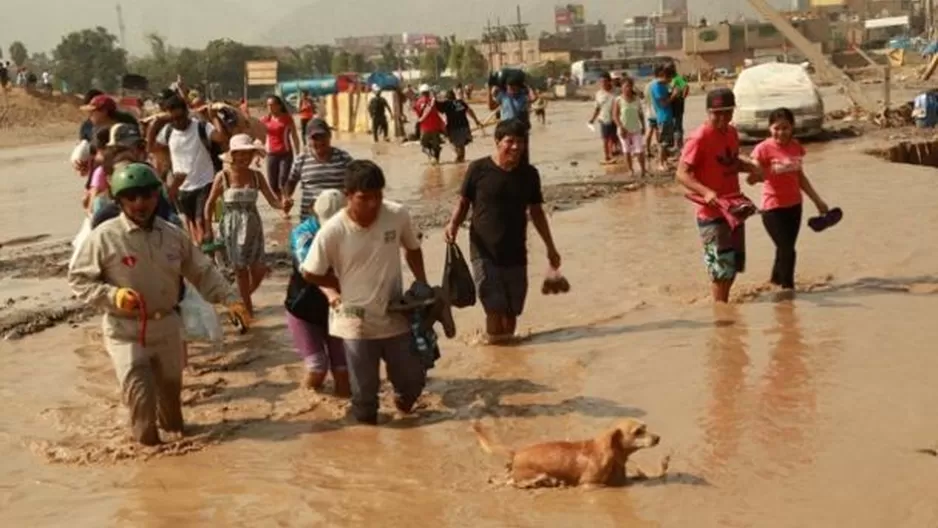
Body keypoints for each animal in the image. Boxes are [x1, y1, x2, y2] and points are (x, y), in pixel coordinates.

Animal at [468, 418, 664, 488]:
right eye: (638, 432)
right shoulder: (588, 484)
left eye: (645, 427)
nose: (658, 437)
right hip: (533, 474)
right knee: (516, 482)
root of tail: (517, 452)